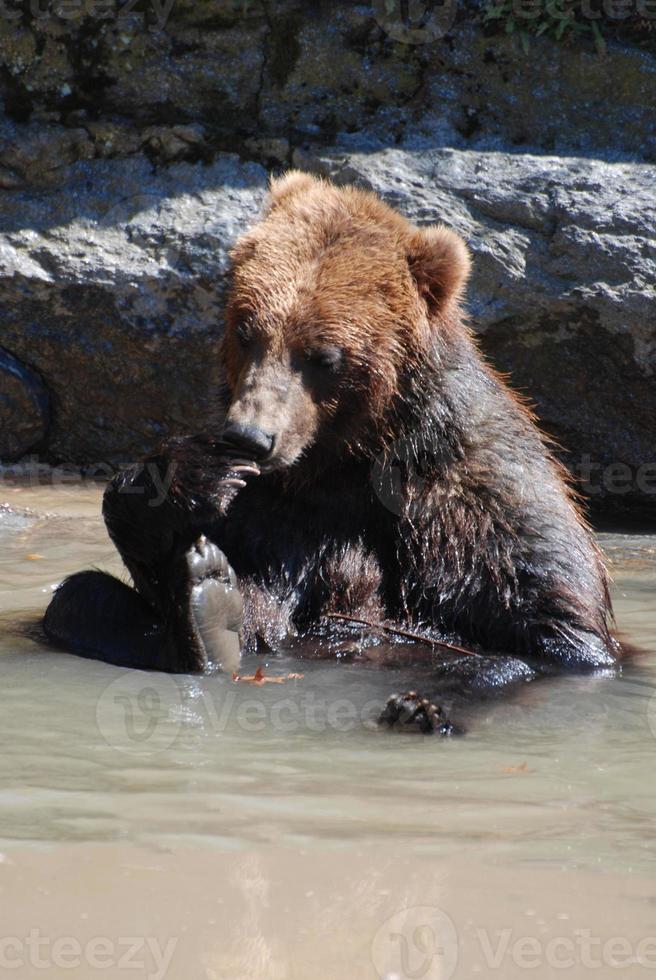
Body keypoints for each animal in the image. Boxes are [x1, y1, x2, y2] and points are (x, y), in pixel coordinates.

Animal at [44, 172, 620, 732]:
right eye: (246, 330)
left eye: (322, 355)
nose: (249, 435)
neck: (351, 458)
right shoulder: (274, 513)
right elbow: (249, 590)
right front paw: (193, 480)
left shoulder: (477, 495)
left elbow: (554, 631)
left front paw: (425, 702)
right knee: (78, 599)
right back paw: (206, 621)